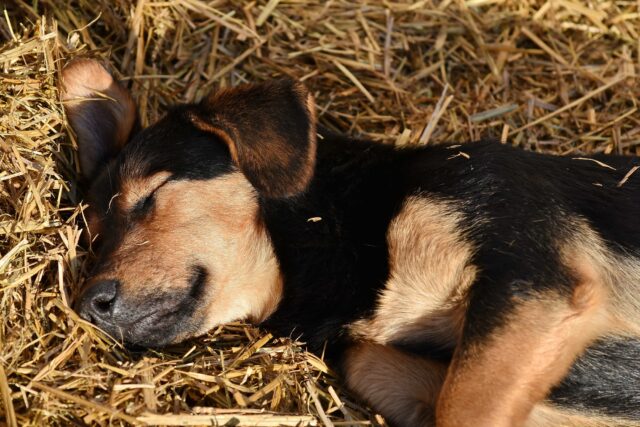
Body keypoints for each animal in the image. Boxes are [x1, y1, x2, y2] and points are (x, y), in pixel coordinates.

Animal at [61, 59, 640, 427]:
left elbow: (466, 408)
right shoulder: (376, 360)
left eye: (150, 196)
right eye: (94, 235)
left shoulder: (532, 273)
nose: (89, 305)